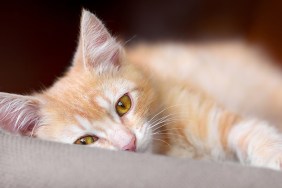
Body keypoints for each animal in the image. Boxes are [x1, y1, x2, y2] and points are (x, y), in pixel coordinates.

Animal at [1, 9, 282, 170]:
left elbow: (254, 132)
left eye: (123, 105)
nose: (129, 144)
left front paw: (274, 157)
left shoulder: (212, 115)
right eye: (86, 141)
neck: (167, 147)